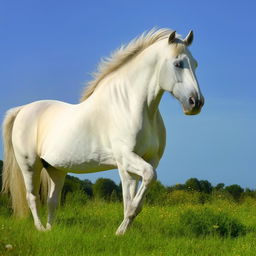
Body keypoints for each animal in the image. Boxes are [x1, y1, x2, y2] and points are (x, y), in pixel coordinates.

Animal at [1, 28, 203, 234]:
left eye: (195, 64)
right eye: (178, 63)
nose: (196, 102)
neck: (132, 106)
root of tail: (21, 110)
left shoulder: (149, 160)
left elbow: (136, 198)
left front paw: (125, 231)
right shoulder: (125, 160)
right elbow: (140, 189)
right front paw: (120, 232)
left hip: (55, 168)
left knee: (52, 201)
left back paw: (50, 230)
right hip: (30, 166)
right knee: (32, 198)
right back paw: (40, 229)